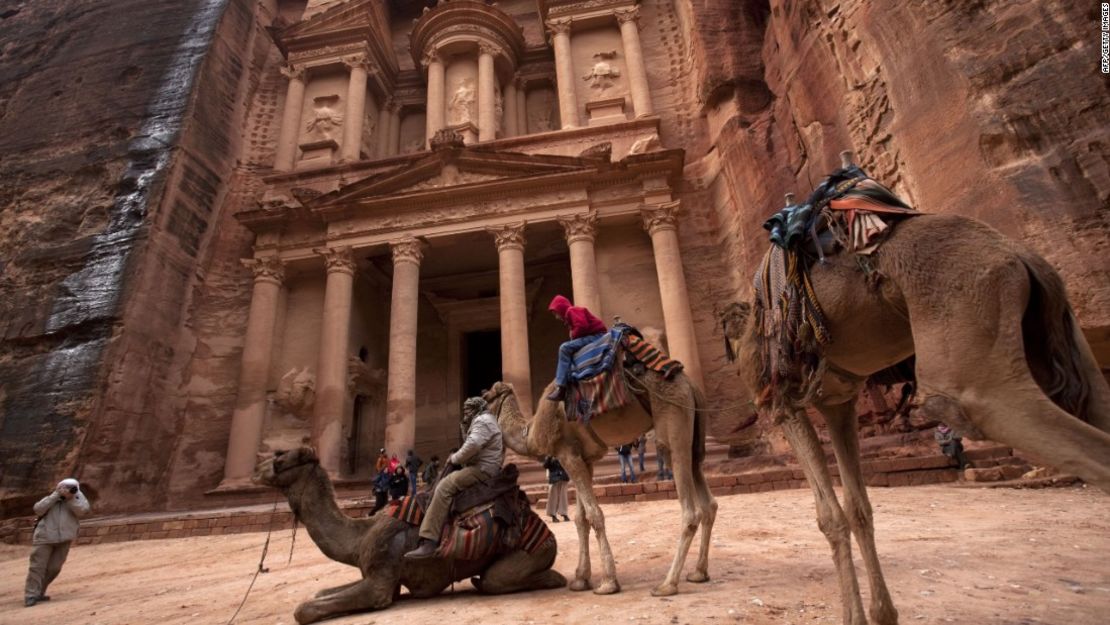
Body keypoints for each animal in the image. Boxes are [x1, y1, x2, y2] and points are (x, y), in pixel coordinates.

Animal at [251, 448, 563, 621]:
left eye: (280, 458)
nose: (255, 470)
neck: (360, 536)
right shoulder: (380, 577)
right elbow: (318, 593)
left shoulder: (381, 581)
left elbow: (304, 610)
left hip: (532, 553)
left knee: (494, 580)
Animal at [486, 366, 719, 599]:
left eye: (484, 398)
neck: (531, 431)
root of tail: (690, 385)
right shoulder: (583, 458)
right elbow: (581, 519)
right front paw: (581, 579)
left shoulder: (567, 454)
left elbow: (595, 515)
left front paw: (608, 582)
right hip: (693, 429)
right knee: (708, 501)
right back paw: (699, 572)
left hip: (673, 416)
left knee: (689, 507)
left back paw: (667, 584)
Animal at [719, 212, 1110, 625]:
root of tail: (1016, 253)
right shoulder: (839, 403)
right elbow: (859, 508)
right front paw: (883, 613)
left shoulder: (782, 405)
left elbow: (831, 516)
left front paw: (855, 617)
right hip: (1057, 335)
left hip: (969, 356)